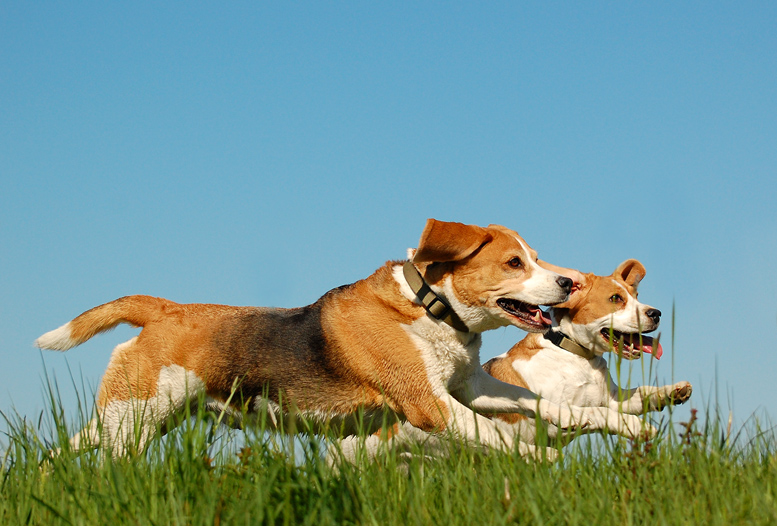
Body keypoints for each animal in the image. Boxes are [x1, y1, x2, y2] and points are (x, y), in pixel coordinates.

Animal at [34, 219, 612, 458]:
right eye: (515, 263)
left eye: (535, 257)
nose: (570, 283)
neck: (429, 307)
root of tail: (165, 309)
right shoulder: (430, 404)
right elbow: (496, 435)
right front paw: (542, 462)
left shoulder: (469, 387)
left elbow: (551, 407)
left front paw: (616, 423)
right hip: (131, 421)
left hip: (130, 421)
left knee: (58, 458)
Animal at [338, 258, 692, 462]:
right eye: (616, 299)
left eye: (636, 295)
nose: (656, 313)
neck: (576, 357)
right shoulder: (552, 424)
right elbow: (596, 414)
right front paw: (633, 427)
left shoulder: (613, 397)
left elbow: (637, 398)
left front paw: (672, 392)